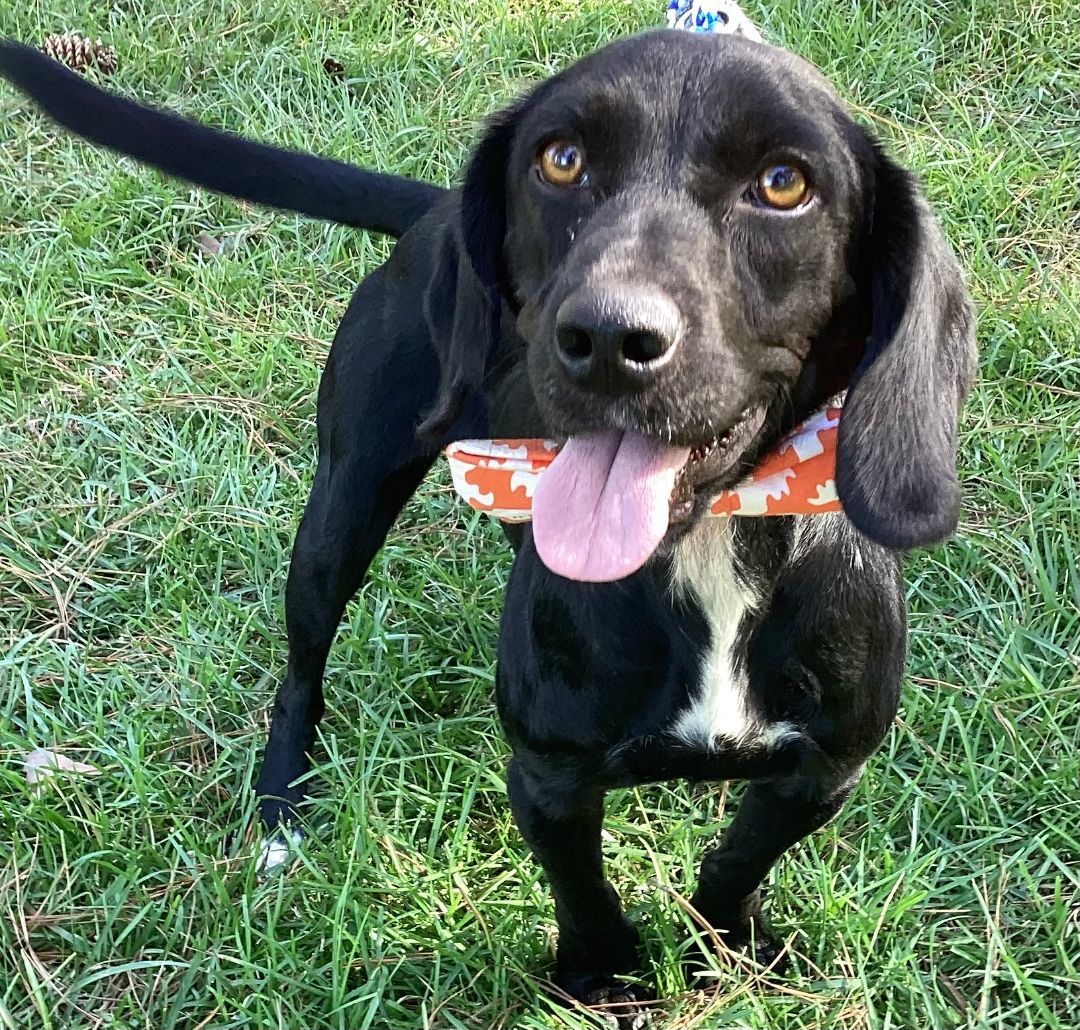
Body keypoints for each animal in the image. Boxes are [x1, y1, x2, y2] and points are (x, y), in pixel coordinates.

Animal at [2, 32, 980, 1010]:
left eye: (783, 183)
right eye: (561, 159)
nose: (607, 339)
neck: (709, 546)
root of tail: (432, 213)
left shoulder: (821, 771)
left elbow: (738, 860)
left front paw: (726, 945)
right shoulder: (548, 776)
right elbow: (582, 887)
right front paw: (599, 976)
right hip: (342, 508)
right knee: (302, 665)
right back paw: (281, 808)